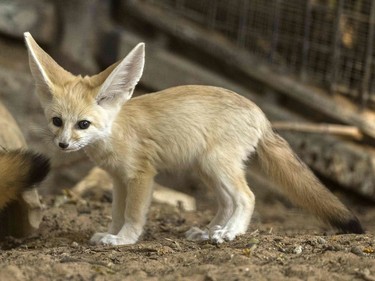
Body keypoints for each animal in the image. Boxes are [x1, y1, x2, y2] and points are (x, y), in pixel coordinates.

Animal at [23, 31, 364, 244]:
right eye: (57, 122)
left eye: (83, 124)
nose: (63, 144)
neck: (116, 131)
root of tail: (260, 112)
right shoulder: (119, 179)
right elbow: (116, 213)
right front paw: (111, 234)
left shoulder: (141, 176)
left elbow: (133, 215)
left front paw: (124, 240)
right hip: (207, 170)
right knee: (227, 203)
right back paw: (210, 231)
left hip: (216, 166)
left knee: (247, 197)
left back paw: (229, 233)